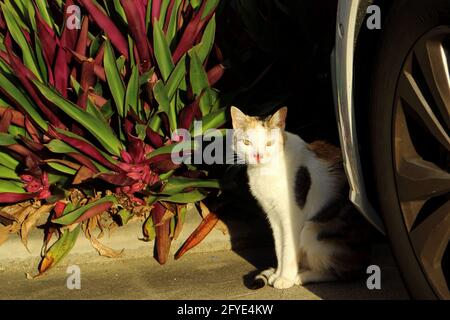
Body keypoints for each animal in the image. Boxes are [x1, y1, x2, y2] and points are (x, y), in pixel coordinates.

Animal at [230, 106, 370, 288]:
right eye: (247, 143)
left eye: (269, 143)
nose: (258, 156)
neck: (266, 171)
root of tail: (366, 261)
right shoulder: (274, 216)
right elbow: (280, 248)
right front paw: (278, 274)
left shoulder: (292, 217)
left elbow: (288, 249)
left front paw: (285, 278)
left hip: (312, 230)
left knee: (342, 273)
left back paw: (301, 276)